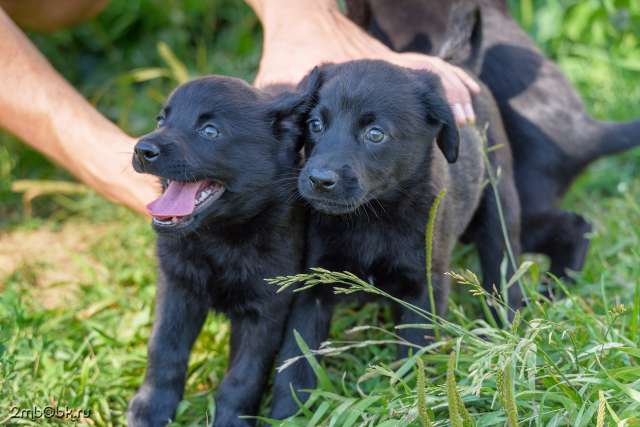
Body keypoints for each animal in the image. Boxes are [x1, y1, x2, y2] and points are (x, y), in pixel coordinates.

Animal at [125, 75, 316, 426]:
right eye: (161, 120)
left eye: (210, 131)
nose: (142, 150)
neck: (218, 239)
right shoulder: (176, 286)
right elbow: (163, 348)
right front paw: (150, 408)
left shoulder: (265, 310)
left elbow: (243, 377)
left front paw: (230, 419)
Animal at [268, 60, 524, 422]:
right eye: (315, 124)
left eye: (375, 134)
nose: (319, 180)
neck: (372, 219)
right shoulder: (313, 285)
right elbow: (296, 360)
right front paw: (287, 415)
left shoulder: (424, 288)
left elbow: (415, 357)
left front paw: (412, 405)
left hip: (499, 207)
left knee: (502, 266)